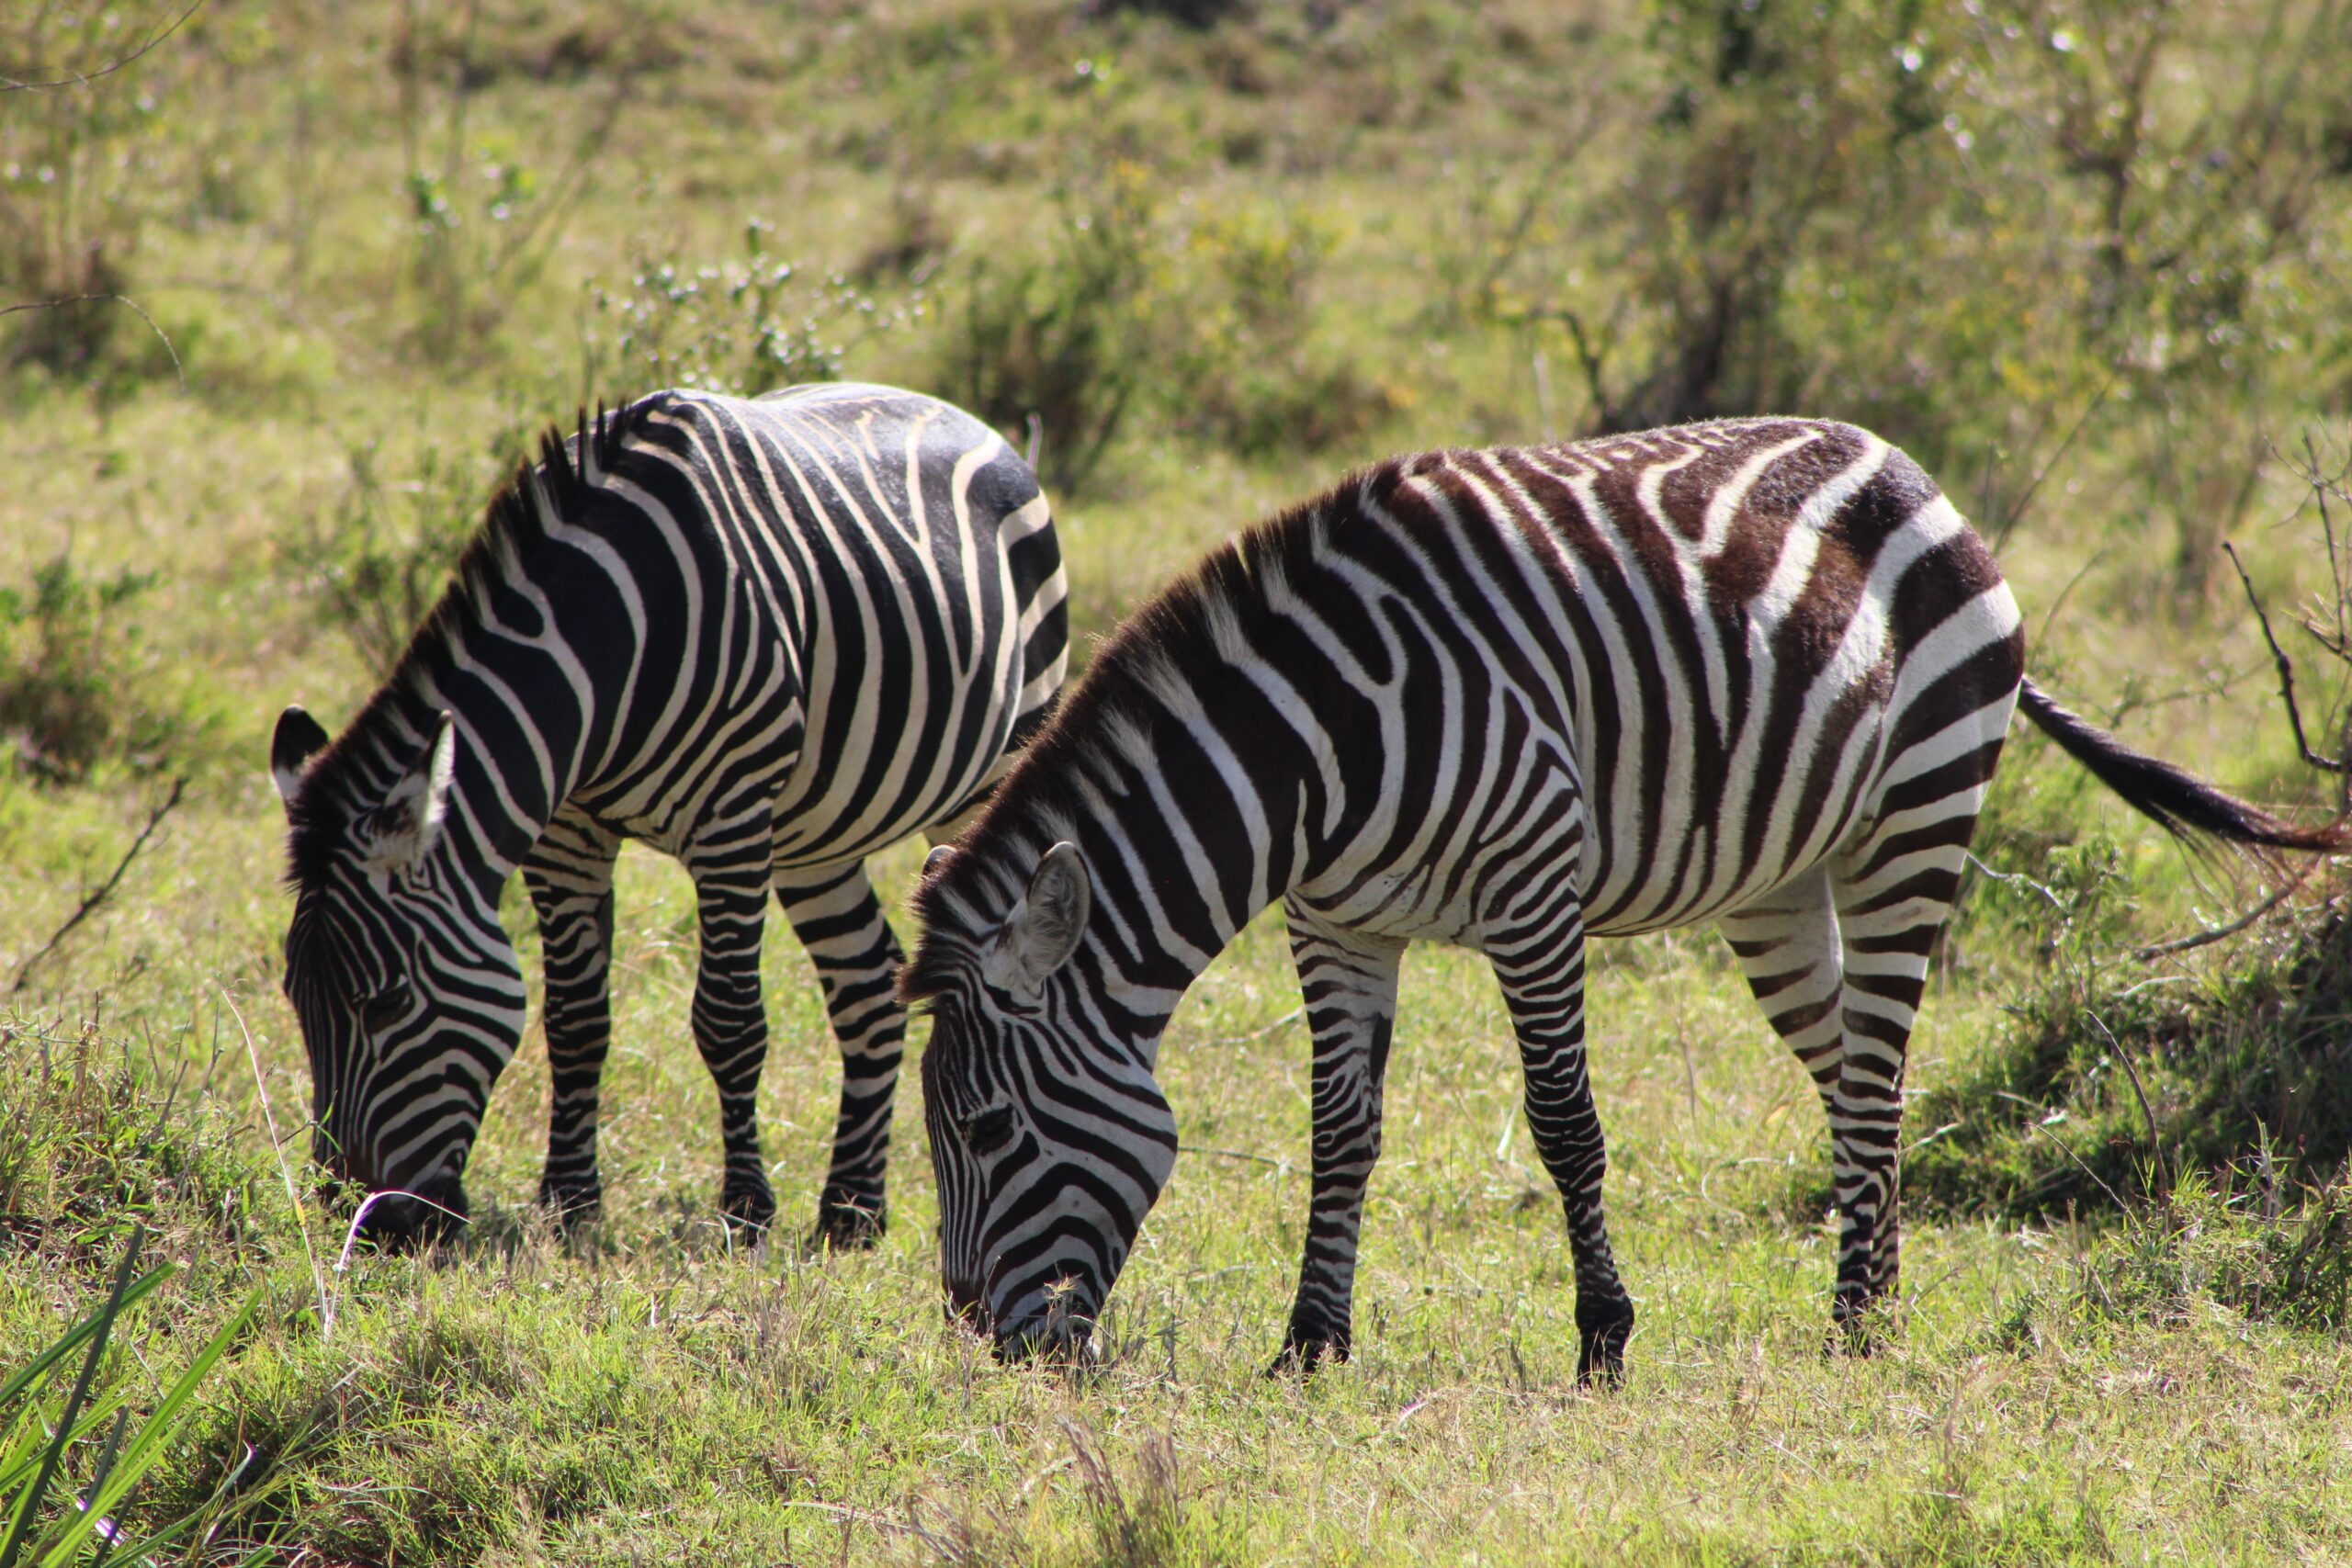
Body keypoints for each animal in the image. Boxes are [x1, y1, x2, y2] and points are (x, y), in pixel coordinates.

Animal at [266, 383, 1068, 1250]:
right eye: (294, 996)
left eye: (385, 1002)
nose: (363, 1220)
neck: (604, 646)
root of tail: (960, 412)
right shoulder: (566, 834)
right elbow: (576, 1019)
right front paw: (570, 1199)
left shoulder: (731, 820)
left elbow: (730, 1022)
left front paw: (746, 1211)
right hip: (816, 834)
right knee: (866, 982)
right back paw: (852, 1211)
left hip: (994, 767)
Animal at [898, 421, 2333, 1382]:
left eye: (985, 1126)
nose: (987, 1349)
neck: (1316, 749)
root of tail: (1906, 462)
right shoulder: (1334, 922)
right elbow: (1340, 1132)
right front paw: (1310, 1343)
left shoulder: (1533, 893)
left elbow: (1564, 1125)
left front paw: (1602, 1338)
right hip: (1778, 886)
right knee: (1856, 1072)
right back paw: (1878, 1289)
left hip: (1916, 813)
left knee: (1877, 1067)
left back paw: (1855, 1328)